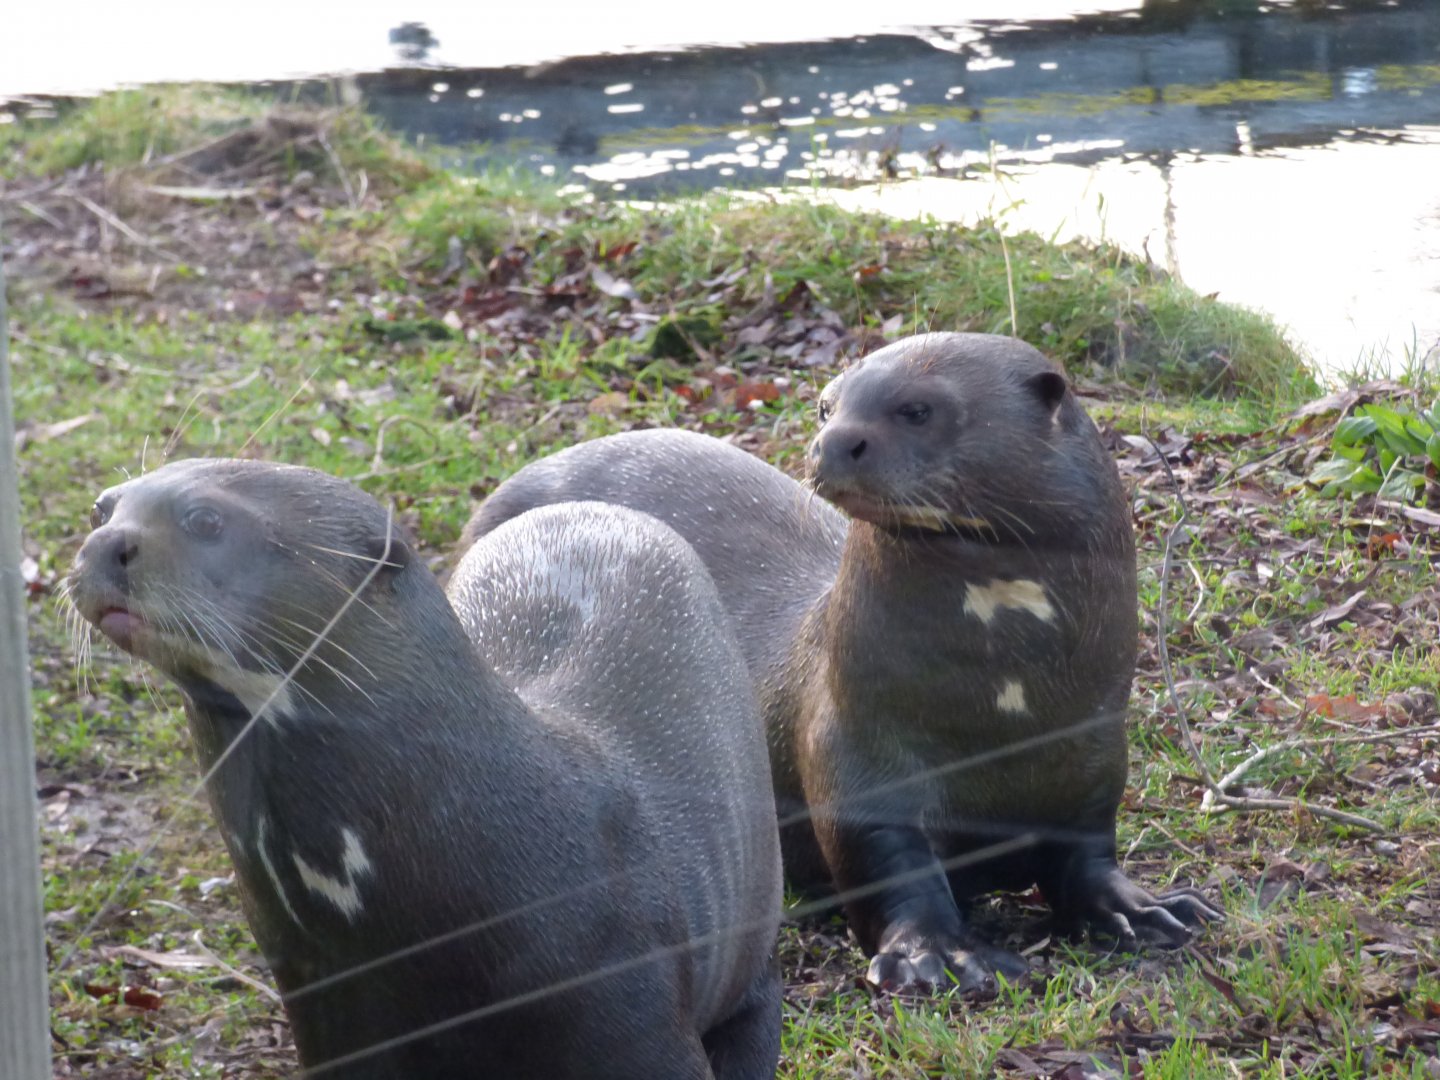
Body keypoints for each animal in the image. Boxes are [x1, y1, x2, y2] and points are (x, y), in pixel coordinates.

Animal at [462, 332, 1220, 993]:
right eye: (828, 405)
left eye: (917, 409)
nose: (833, 442)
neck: (1006, 711)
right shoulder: (855, 742)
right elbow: (884, 855)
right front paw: (936, 955)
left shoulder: (1095, 747)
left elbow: (1089, 849)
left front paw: (1143, 907)